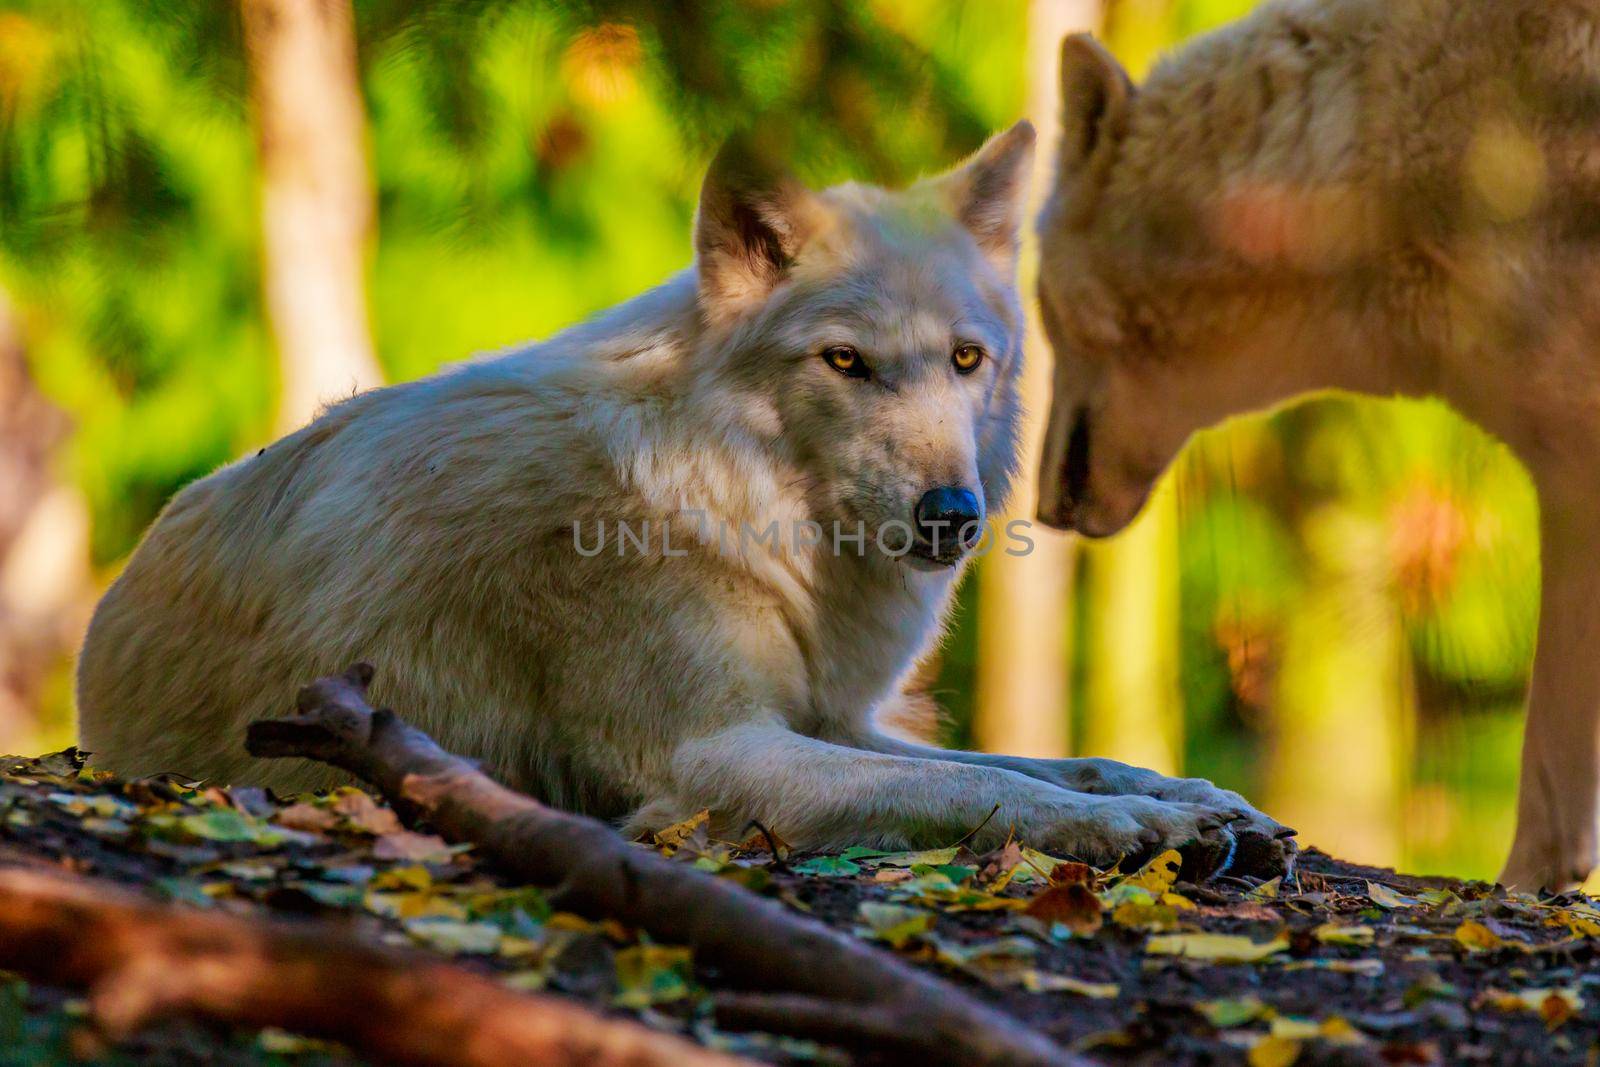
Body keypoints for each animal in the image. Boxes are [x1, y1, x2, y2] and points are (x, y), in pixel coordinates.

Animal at [78, 120, 1286, 870]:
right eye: (844, 362)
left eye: (965, 359)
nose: (952, 514)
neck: (735, 503)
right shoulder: (713, 754)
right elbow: (986, 793)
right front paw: (1136, 825)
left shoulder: (834, 717)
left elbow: (1037, 761)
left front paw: (1193, 800)